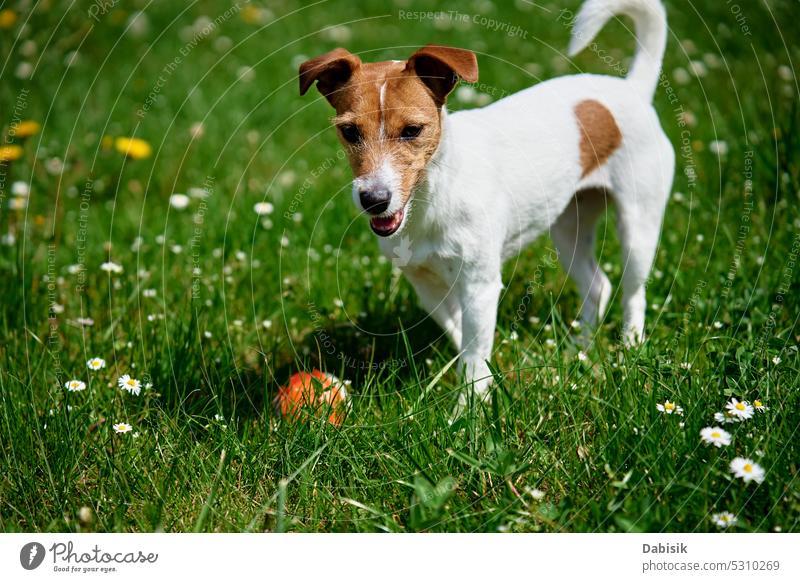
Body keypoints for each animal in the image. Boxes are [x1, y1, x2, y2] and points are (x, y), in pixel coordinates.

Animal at [300, 0, 676, 406]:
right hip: (568, 230)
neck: (431, 200)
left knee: (633, 293)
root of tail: (631, 89)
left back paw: (630, 347)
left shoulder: (480, 284)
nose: (374, 200)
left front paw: (467, 410)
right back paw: (580, 348)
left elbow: (474, 354)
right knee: (597, 286)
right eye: (349, 131)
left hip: (638, 226)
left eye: (412, 130)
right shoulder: (427, 286)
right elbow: (463, 339)